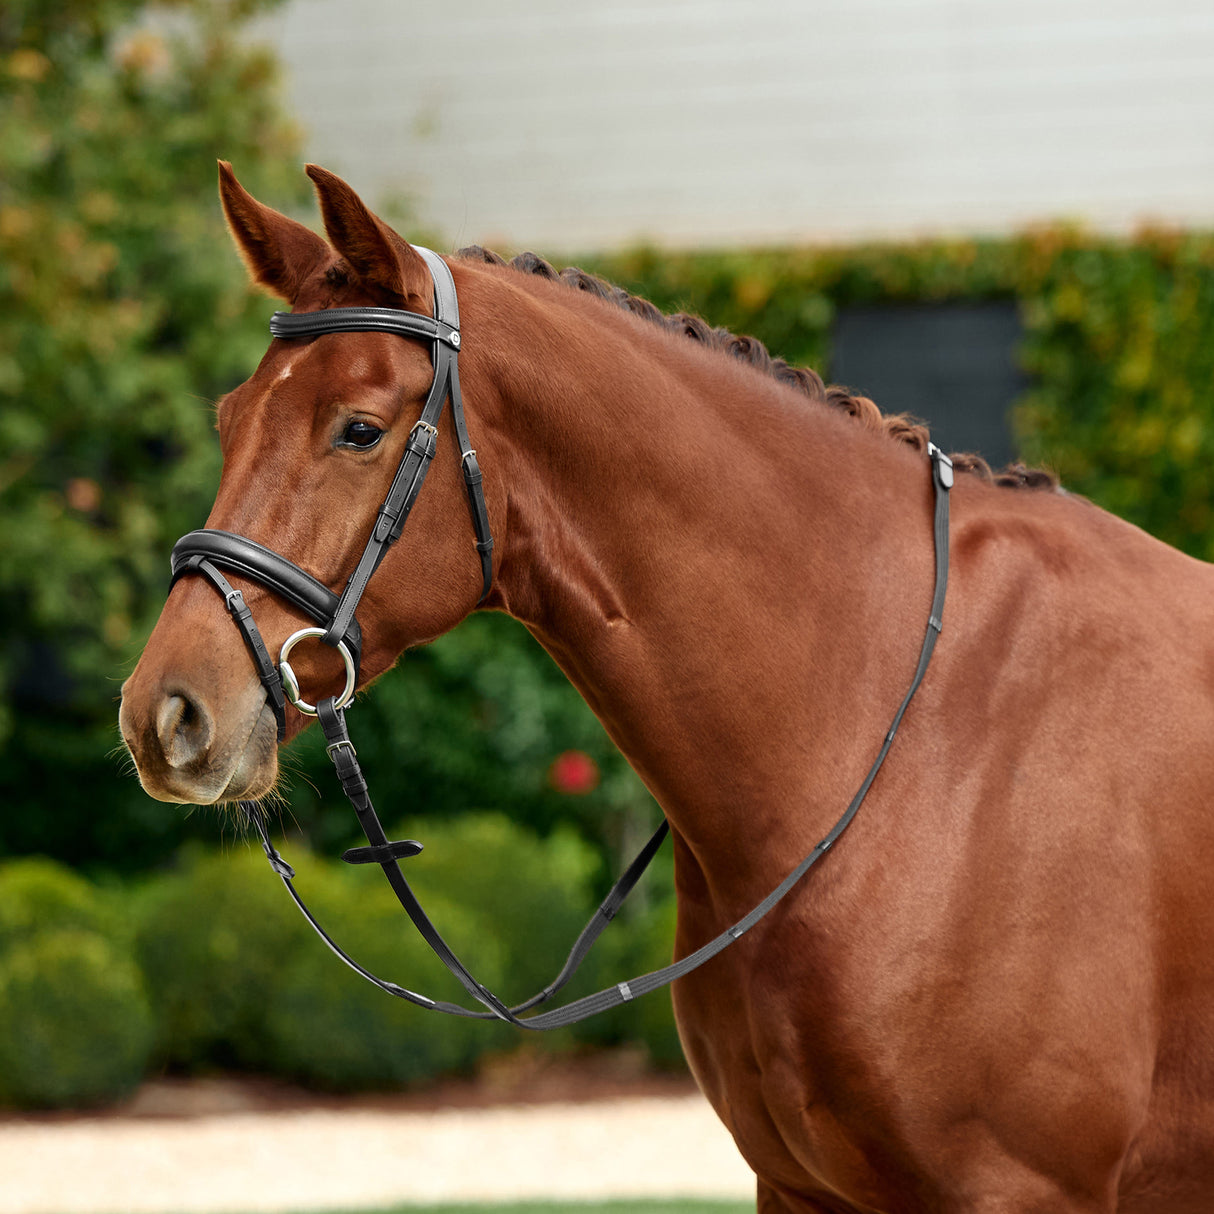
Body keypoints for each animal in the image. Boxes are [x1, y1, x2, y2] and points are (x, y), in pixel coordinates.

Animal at [119, 163, 1214, 1212]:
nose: (165, 714)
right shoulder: (799, 1188)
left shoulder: (1020, 1187)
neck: (905, 736)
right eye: (228, 421)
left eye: (357, 429)